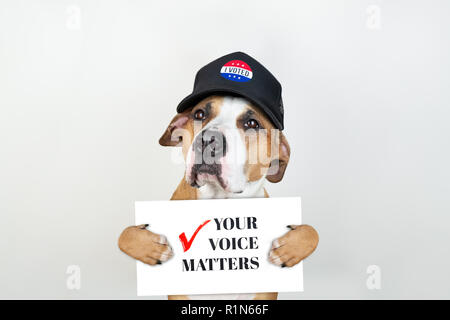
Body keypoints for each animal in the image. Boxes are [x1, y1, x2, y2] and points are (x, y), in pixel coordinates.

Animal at [118, 95, 318, 300]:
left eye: (252, 123)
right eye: (199, 114)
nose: (208, 139)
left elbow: (311, 232)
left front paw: (288, 250)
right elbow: (125, 234)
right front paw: (152, 248)